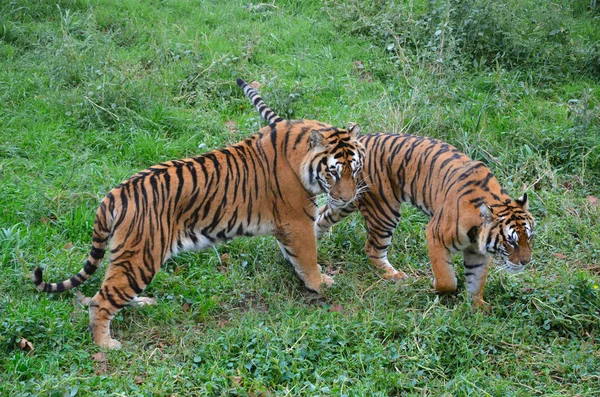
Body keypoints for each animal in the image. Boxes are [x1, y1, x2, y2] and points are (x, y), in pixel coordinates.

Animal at [34, 78, 366, 350]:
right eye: (333, 172)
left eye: (355, 169)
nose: (346, 199)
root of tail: (114, 194)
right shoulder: (297, 221)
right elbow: (308, 256)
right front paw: (320, 283)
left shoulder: (288, 226)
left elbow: (294, 256)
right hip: (142, 256)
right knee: (100, 300)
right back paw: (105, 344)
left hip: (128, 256)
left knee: (109, 288)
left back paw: (141, 303)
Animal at [239, 83, 536, 306]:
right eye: (510, 241)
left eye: (529, 238)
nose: (525, 262)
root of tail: (358, 140)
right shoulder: (435, 234)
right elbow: (447, 279)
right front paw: (437, 286)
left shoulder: (478, 252)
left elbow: (476, 282)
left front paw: (477, 308)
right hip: (384, 211)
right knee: (373, 249)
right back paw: (393, 276)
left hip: (344, 201)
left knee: (320, 218)